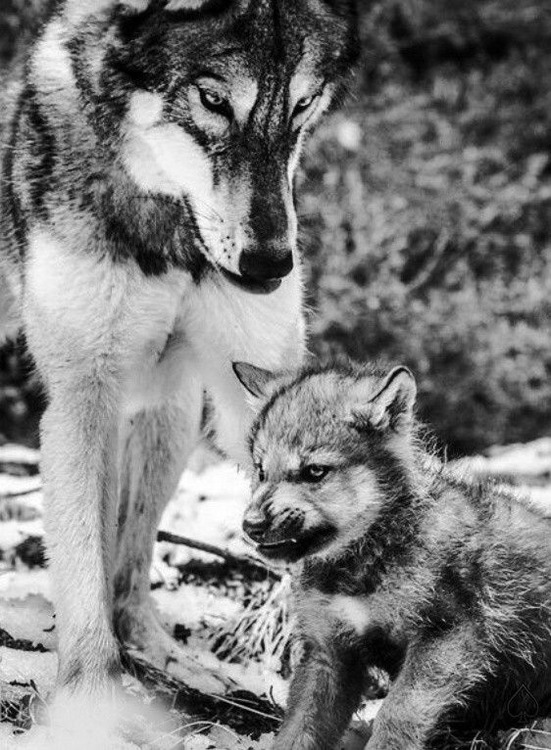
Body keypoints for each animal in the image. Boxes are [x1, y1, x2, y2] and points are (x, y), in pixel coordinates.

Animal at [0, 0, 359, 713]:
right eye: (214, 99)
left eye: (303, 105)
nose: (271, 266)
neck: (168, 226)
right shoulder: (83, 392)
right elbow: (80, 566)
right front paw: (93, 702)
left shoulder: (251, 382)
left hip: (170, 409)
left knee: (132, 566)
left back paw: (167, 655)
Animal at [234, 360, 551, 750]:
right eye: (261, 470)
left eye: (314, 471)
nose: (251, 526)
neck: (361, 565)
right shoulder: (329, 652)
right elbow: (299, 727)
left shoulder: (447, 637)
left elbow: (396, 715)